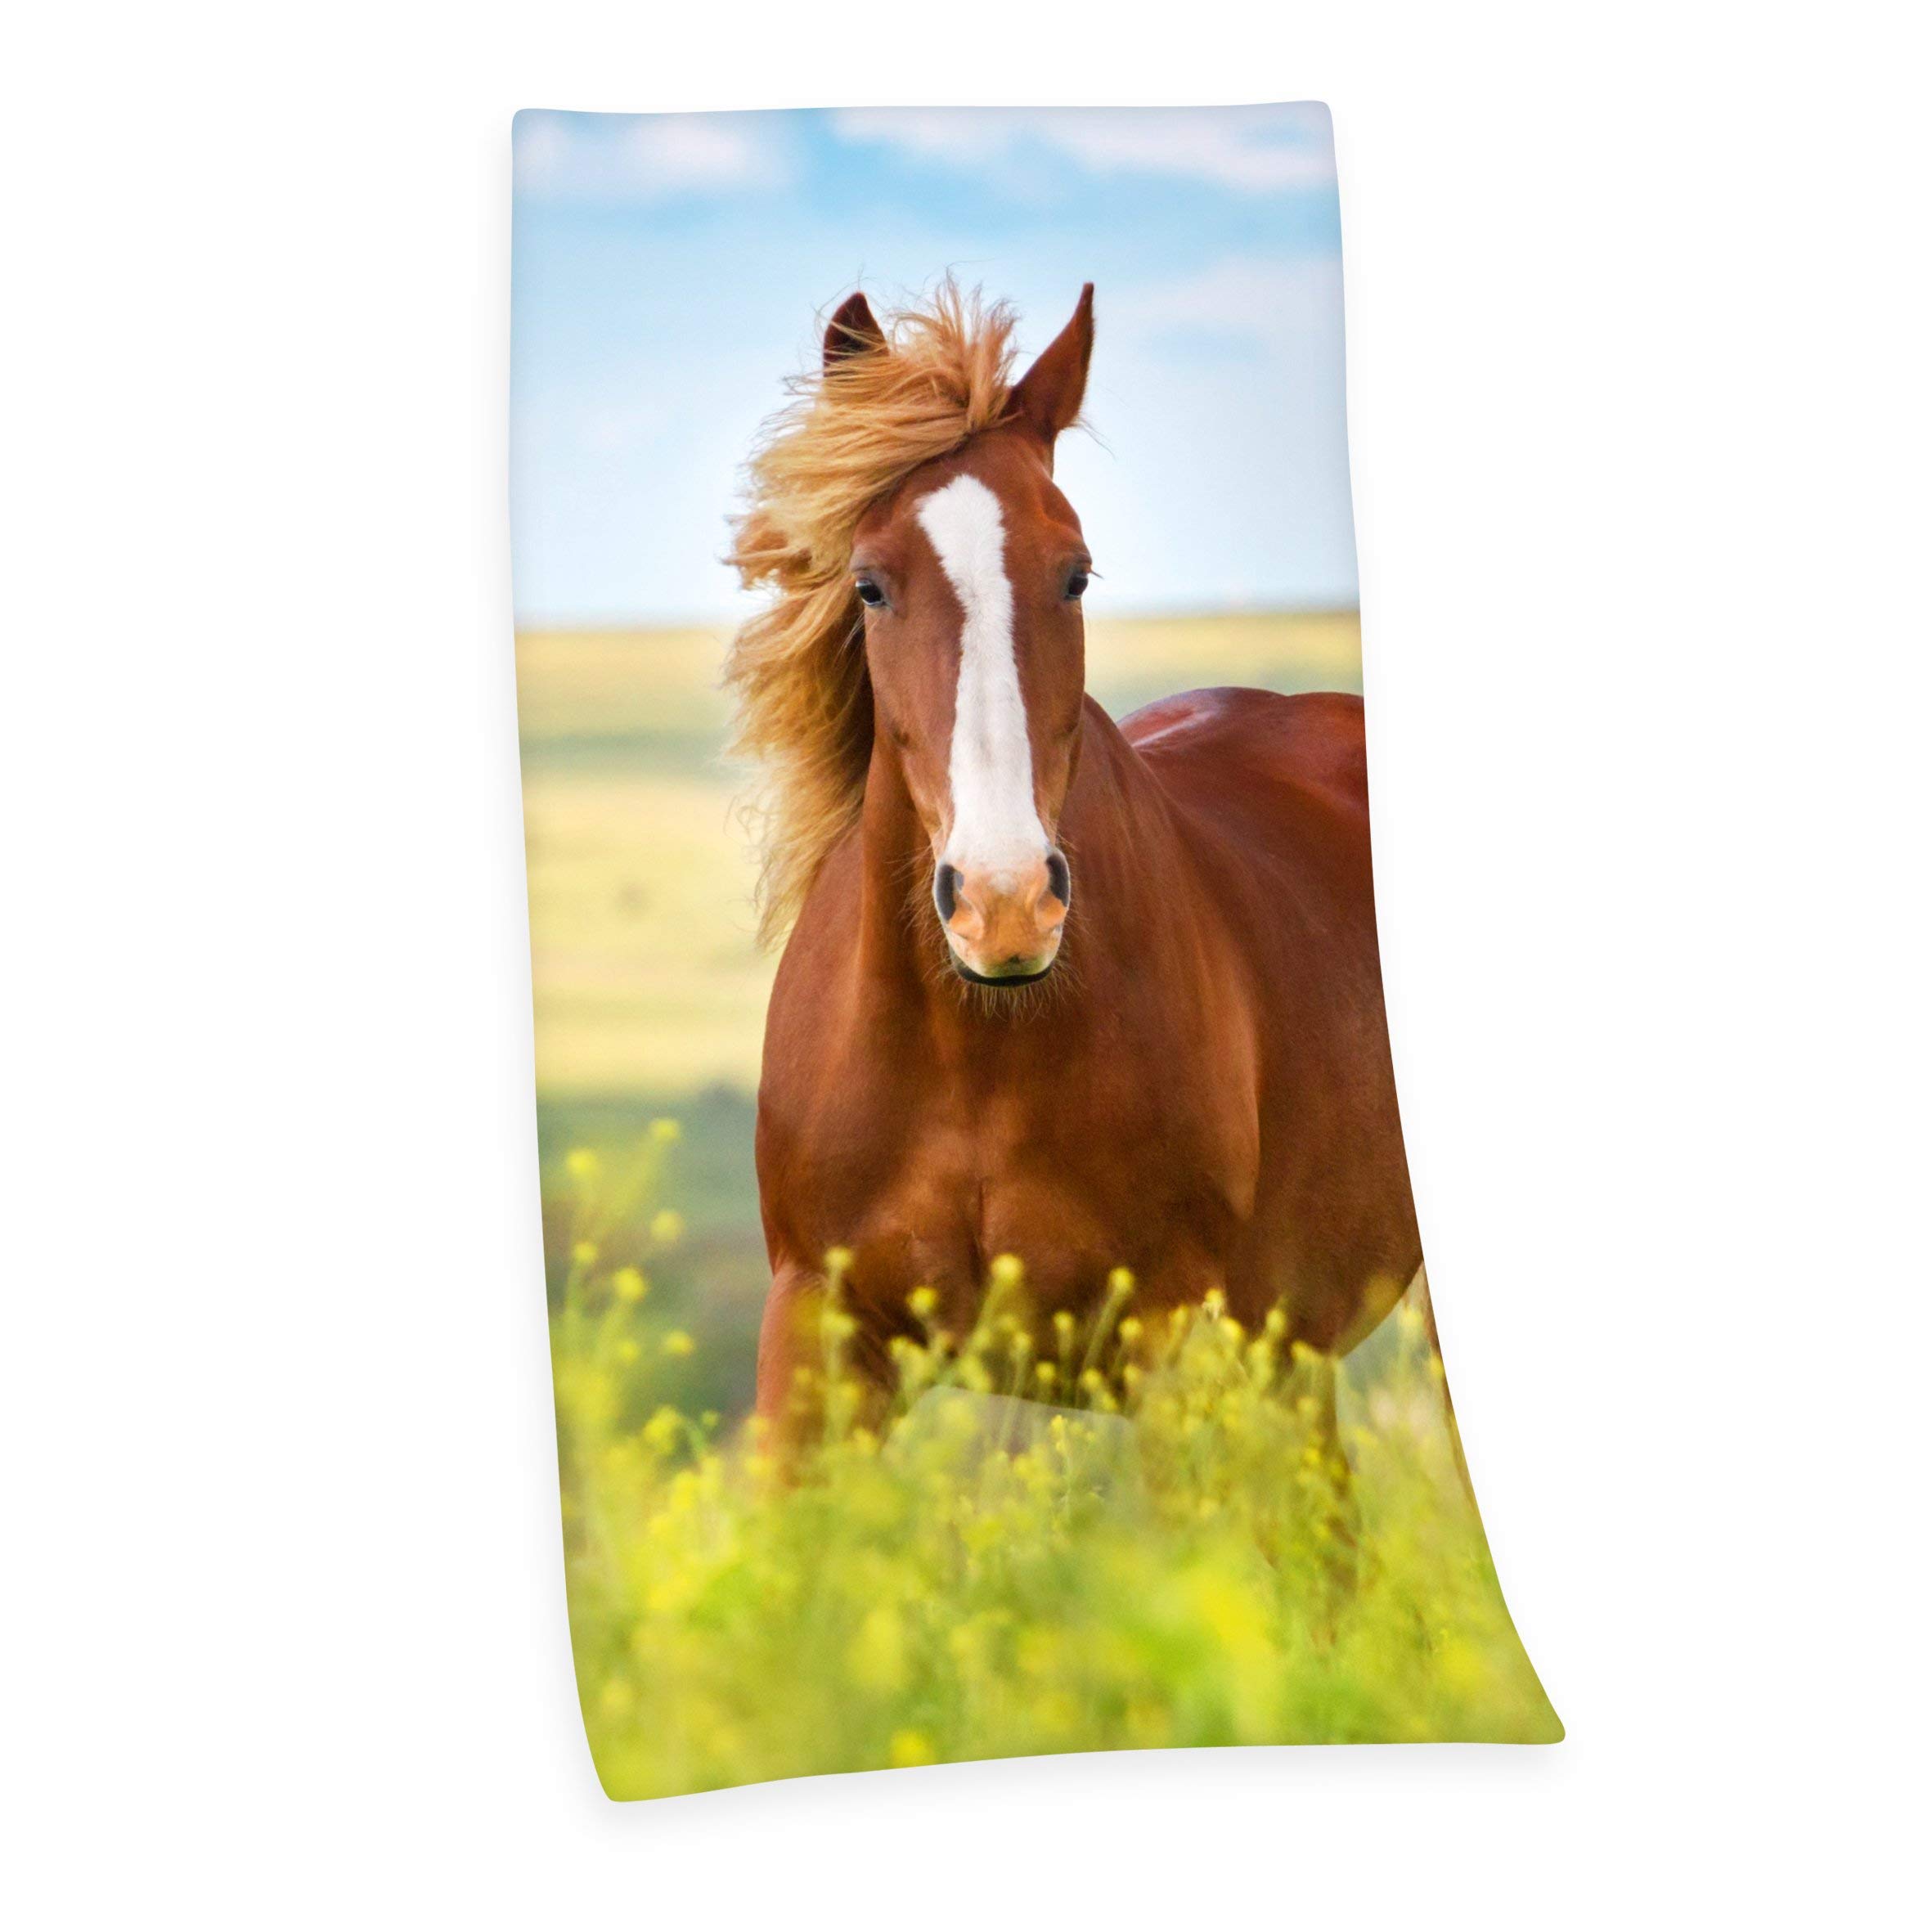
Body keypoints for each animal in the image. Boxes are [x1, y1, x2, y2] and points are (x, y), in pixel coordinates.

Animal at [725, 281, 1422, 1428]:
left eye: (1076, 575)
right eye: (869, 585)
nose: (1004, 906)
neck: (976, 1051)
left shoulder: (1177, 1344)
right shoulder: (815, 1336)